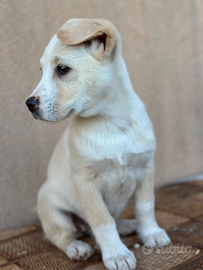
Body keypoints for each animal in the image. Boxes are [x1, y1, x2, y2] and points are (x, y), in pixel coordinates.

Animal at [25, 19, 171, 270]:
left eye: (62, 69)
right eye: (42, 71)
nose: (29, 104)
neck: (110, 122)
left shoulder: (146, 168)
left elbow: (145, 206)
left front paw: (151, 233)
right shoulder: (85, 182)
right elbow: (102, 221)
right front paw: (116, 254)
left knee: (104, 223)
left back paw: (125, 225)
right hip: (52, 208)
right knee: (62, 236)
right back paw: (77, 247)